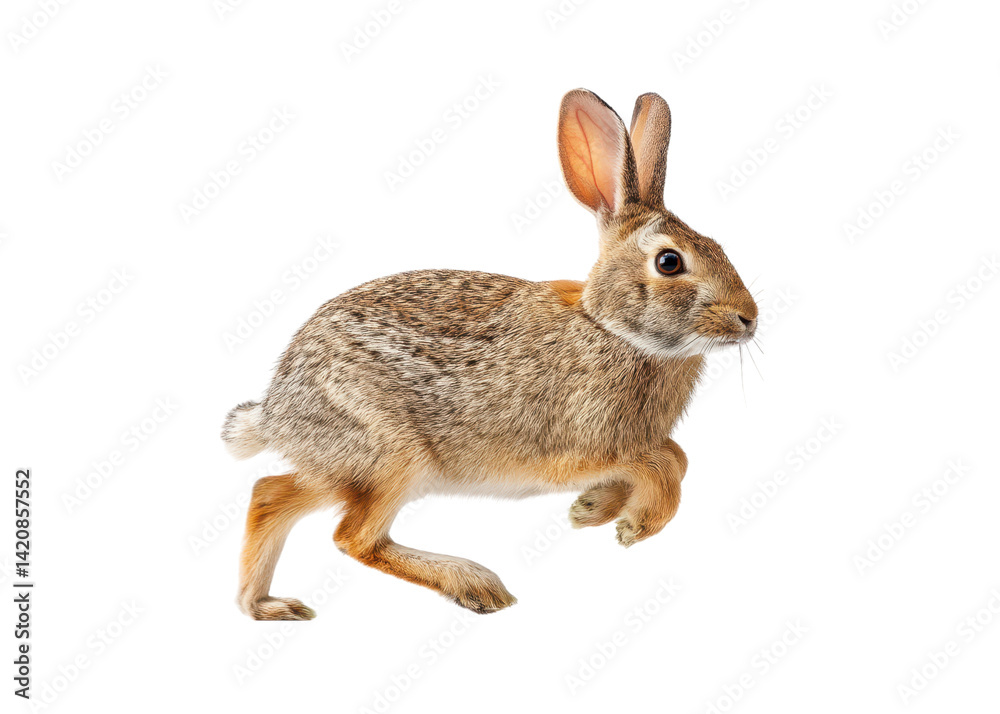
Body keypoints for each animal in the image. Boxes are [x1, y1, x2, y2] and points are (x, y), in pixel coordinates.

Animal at [223, 89, 758, 620]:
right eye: (670, 262)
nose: (749, 318)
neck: (611, 329)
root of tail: (276, 413)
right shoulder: (576, 451)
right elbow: (663, 461)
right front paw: (635, 524)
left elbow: (678, 456)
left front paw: (592, 510)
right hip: (390, 456)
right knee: (353, 537)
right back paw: (475, 584)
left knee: (269, 495)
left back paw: (265, 605)